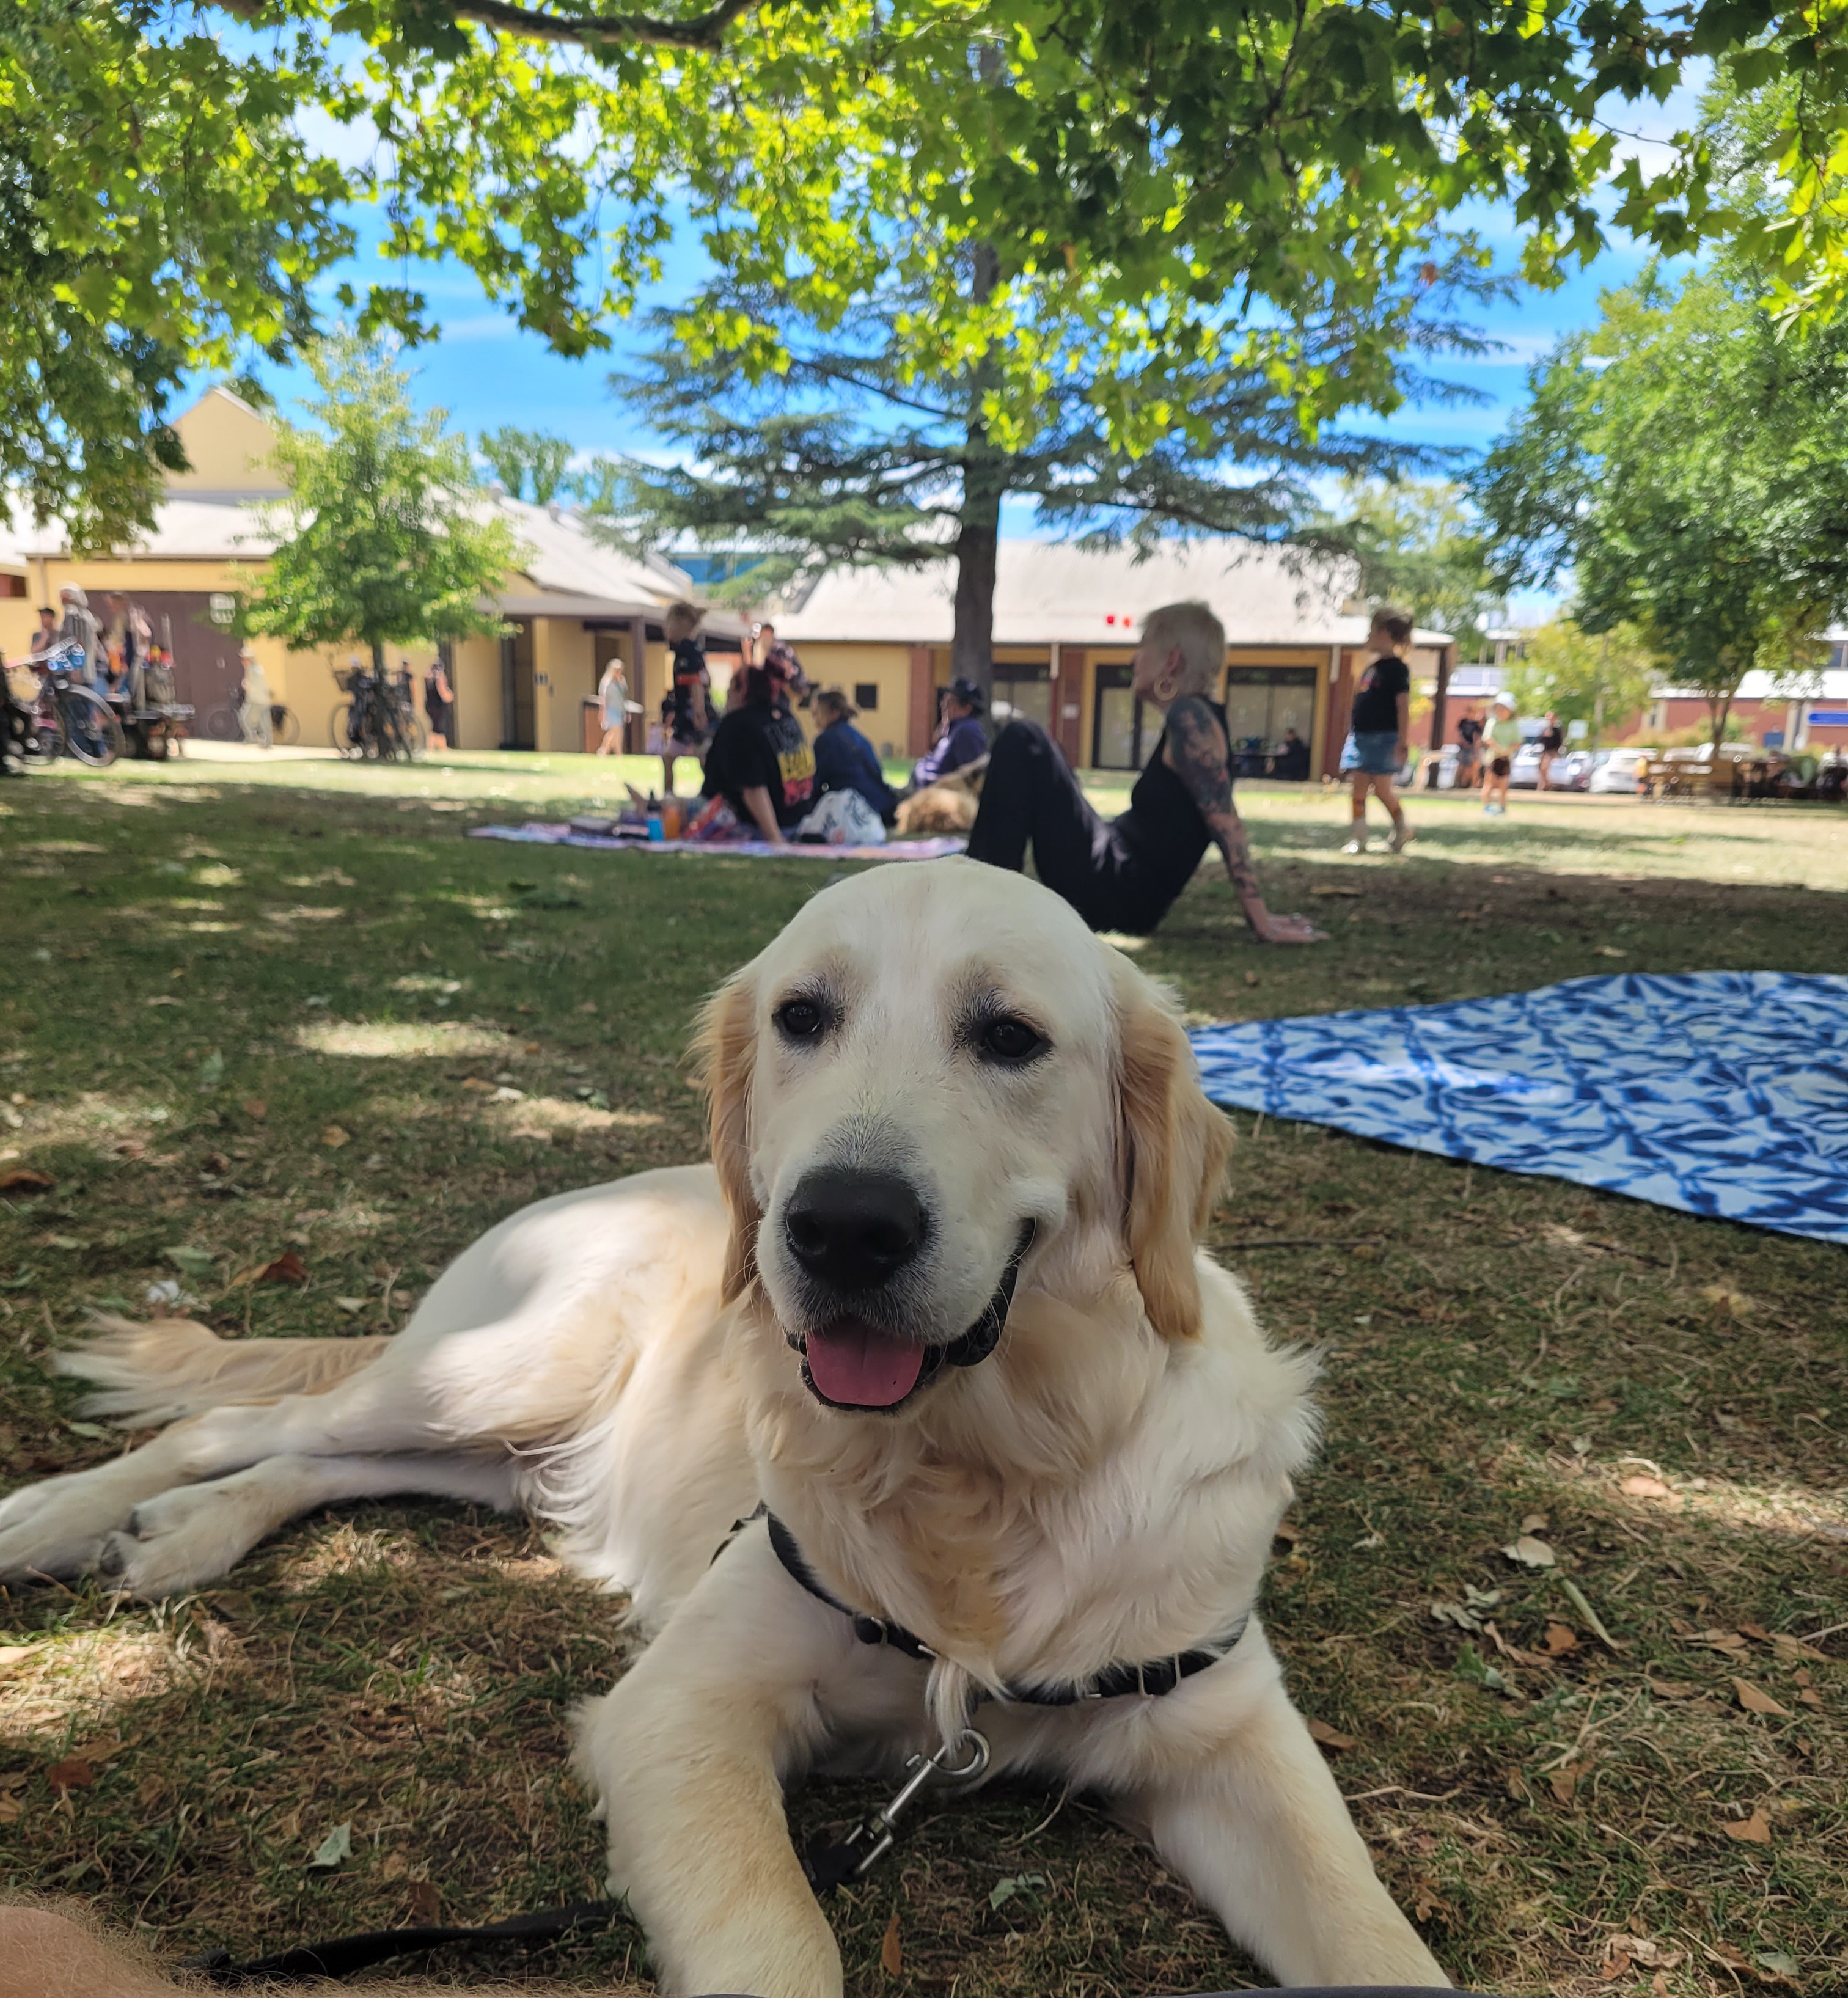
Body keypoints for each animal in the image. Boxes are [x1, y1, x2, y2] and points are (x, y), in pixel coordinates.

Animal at [0, 863, 1438, 1998]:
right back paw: (70, 1516)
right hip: (493, 1370)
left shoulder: (1225, 1733)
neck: (978, 1474)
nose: (843, 1225)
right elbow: (777, 1944)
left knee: (312, 1456)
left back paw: (180, 1535)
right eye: (803, 1016)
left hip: (500, 1456)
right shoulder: (679, 1713)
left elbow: (1378, 1944)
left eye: (1010, 1036)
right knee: (244, 1418)